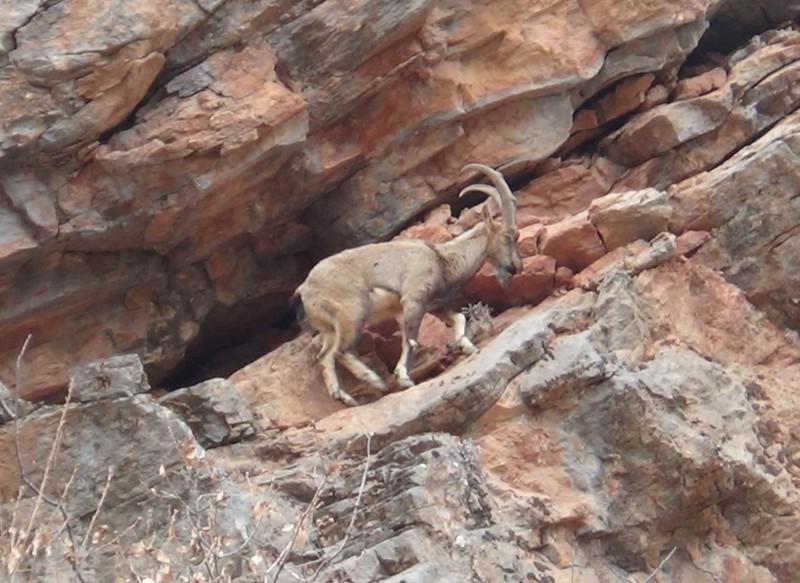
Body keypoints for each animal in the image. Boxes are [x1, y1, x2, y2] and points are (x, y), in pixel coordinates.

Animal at [290, 163, 520, 406]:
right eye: (508, 236)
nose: (516, 267)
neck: (441, 259)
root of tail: (303, 290)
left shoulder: (431, 306)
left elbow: (457, 318)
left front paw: (467, 346)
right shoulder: (414, 300)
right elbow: (410, 340)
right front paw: (404, 378)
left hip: (329, 328)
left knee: (324, 356)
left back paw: (344, 397)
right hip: (353, 311)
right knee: (342, 351)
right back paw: (374, 380)